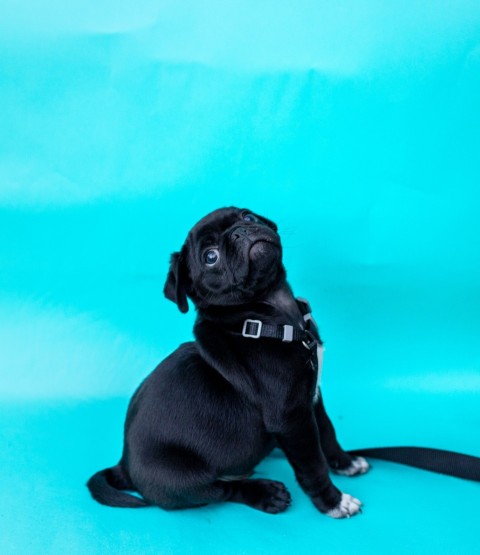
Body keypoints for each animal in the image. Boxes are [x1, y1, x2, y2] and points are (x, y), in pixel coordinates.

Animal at [88, 206, 370, 520]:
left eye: (248, 218)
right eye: (210, 256)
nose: (239, 231)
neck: (270, 315)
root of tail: (124, 466)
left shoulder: (311, 395)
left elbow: (327, 431)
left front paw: (345, 462)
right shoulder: (291, 417)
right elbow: (312, 462)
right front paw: (333, 501)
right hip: (181, 477)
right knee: (220, 490)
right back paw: (266, 494)